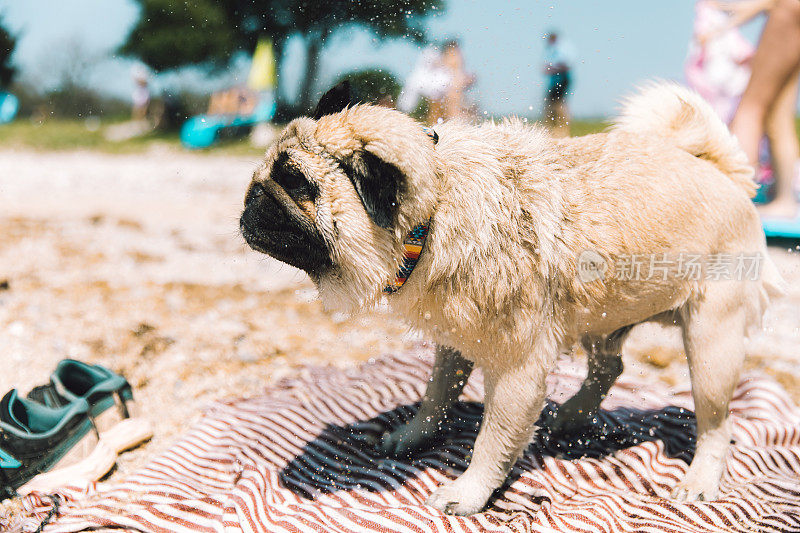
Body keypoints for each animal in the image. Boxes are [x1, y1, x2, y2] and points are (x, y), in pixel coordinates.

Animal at [241, 81, 784, 512]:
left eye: (296, 183)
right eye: (268, 171)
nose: (252, 196)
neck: (437, 207)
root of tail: (725, 175)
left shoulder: (518, 369)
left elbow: (493, 439)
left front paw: (469, 492)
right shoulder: (454, 339)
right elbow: (437, 395)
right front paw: (415, 434)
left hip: (711, 344)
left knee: (716, 424)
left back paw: (699, 480)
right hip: (604, 314)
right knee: (610, 367)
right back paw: (573, 415)